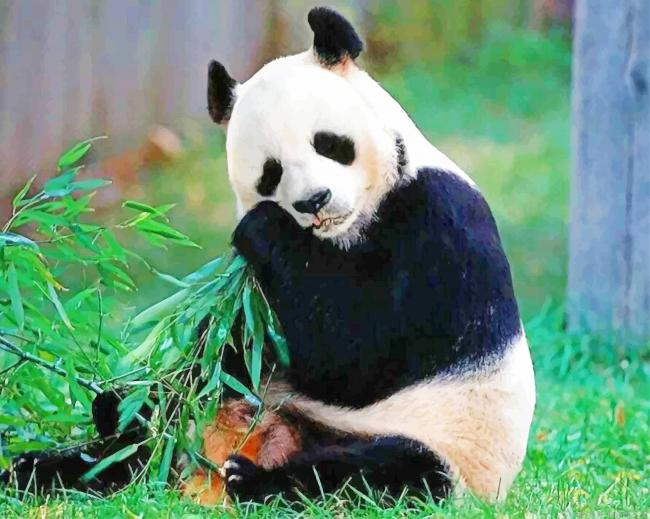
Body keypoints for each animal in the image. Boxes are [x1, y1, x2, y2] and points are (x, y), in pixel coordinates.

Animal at [208, 6, 536, 504]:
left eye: (328, 143)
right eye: (271, 172)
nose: (314, 201)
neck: (348, 229)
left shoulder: (437, 226)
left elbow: (353, 353)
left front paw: (262, 227)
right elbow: (240, 341)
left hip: (446, 446)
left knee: (377, 472)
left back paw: (254, 478)